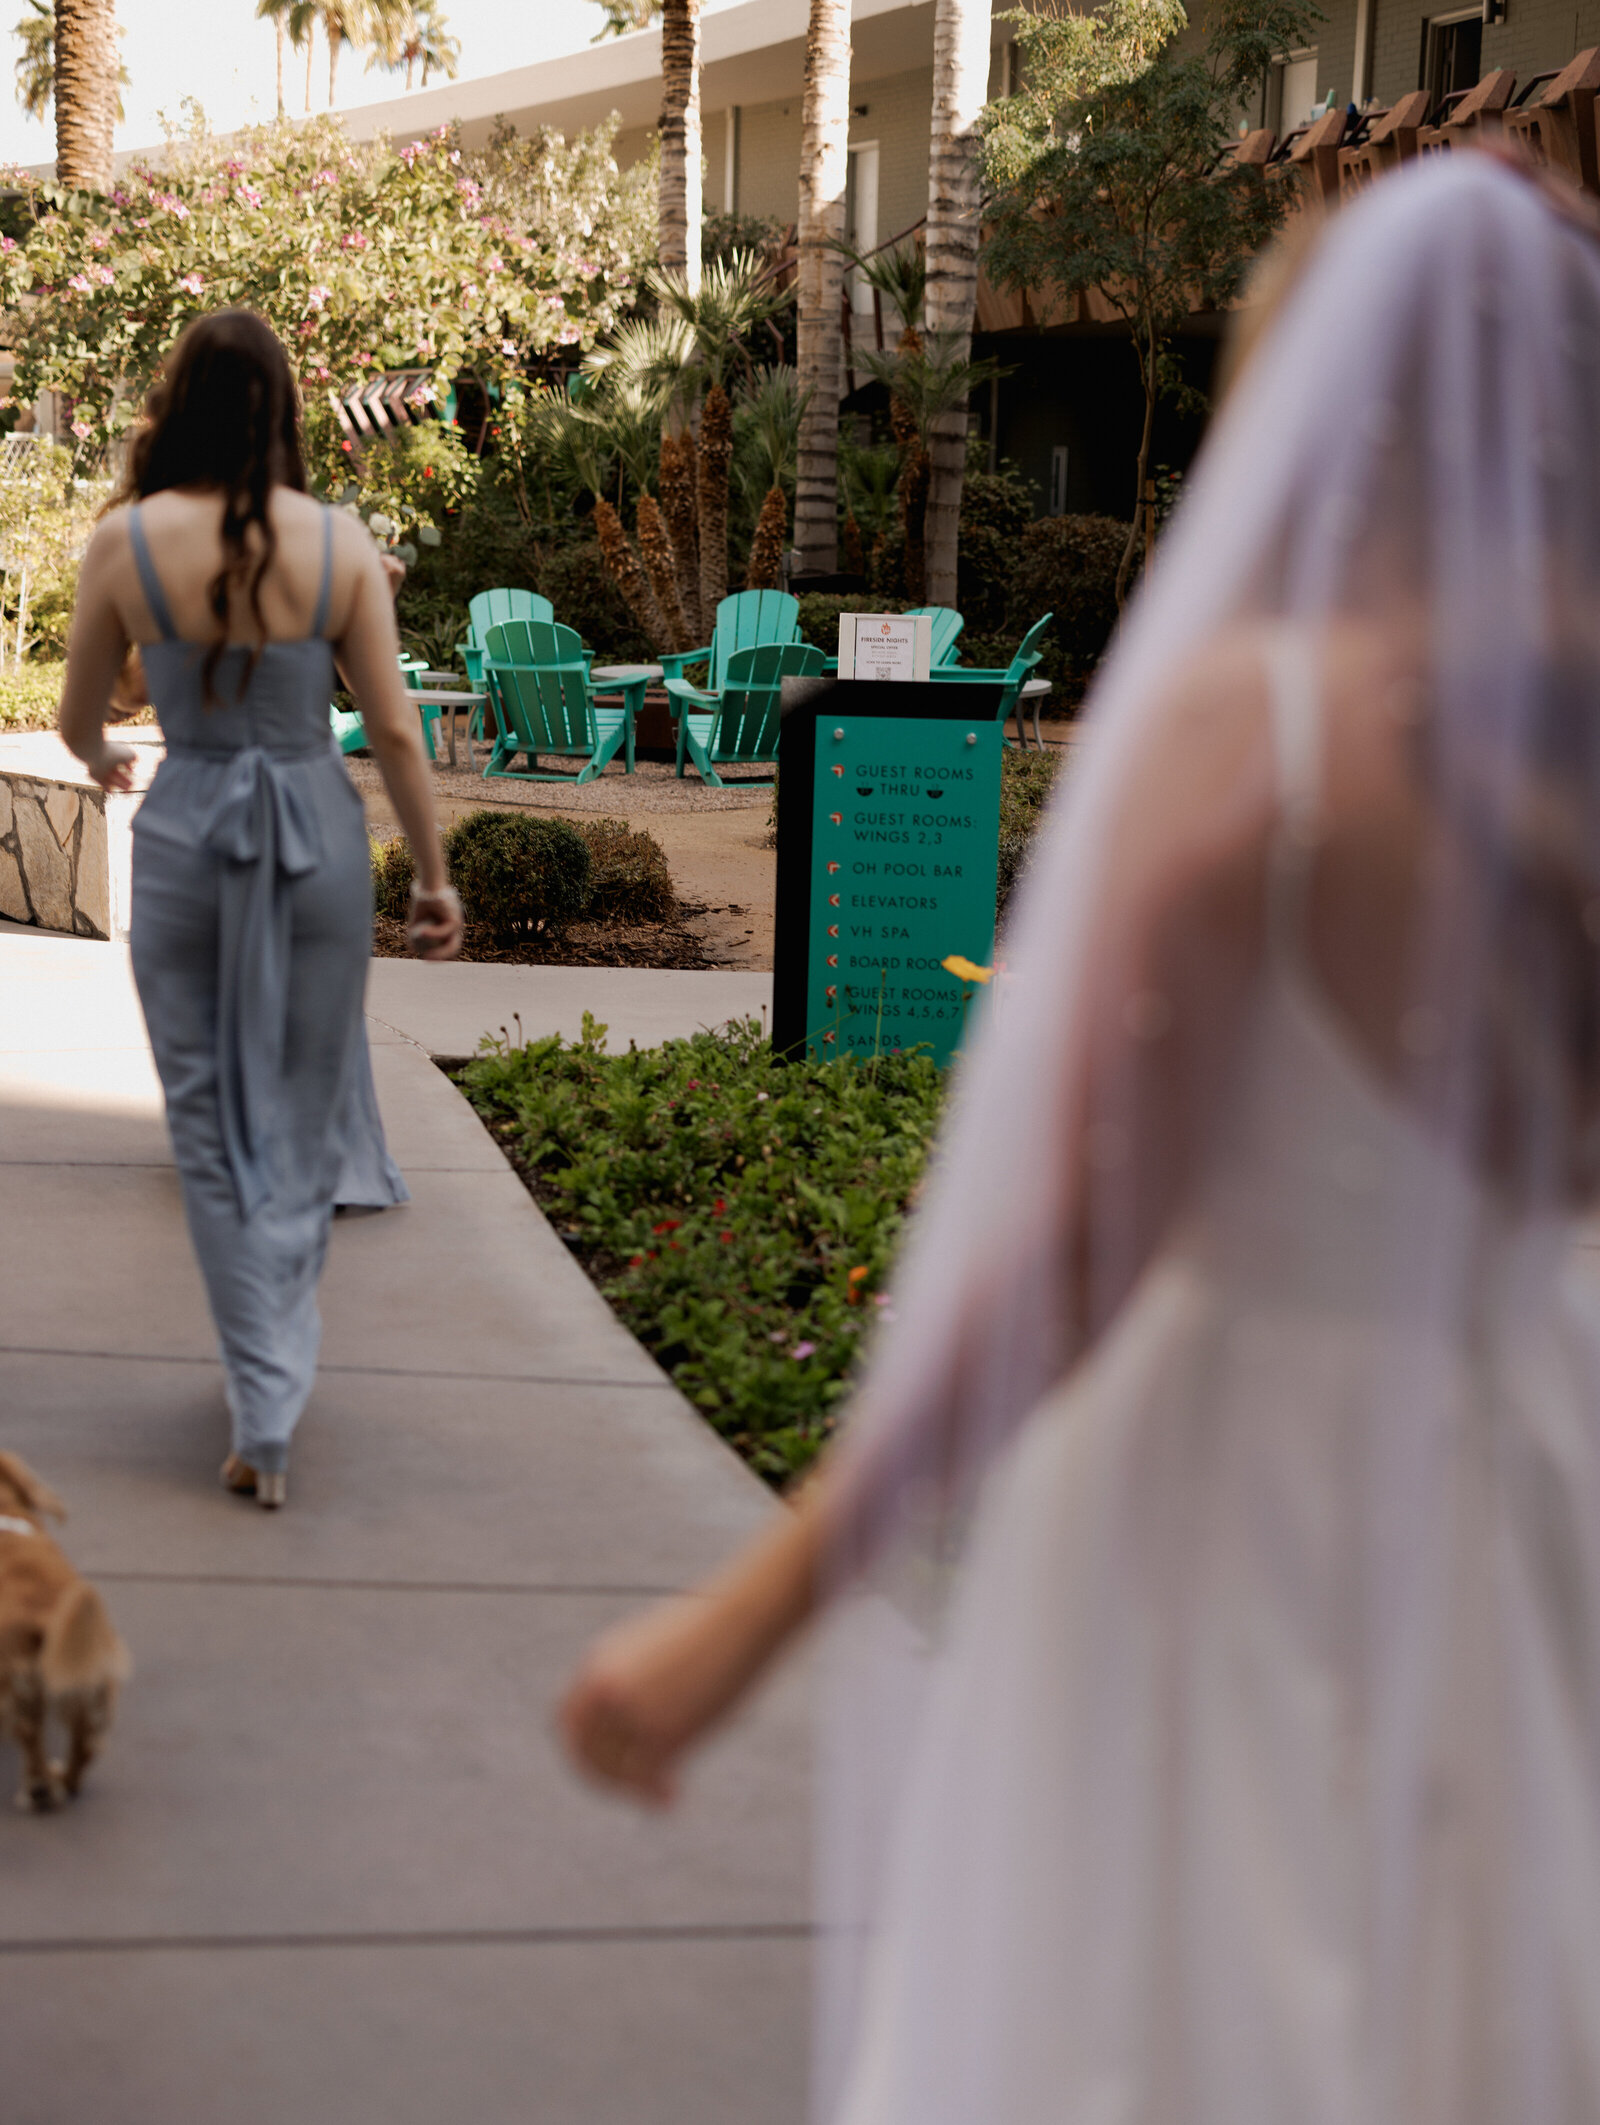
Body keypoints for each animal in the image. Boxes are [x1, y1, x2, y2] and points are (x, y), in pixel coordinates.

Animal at [0, 1445, 129, 1810]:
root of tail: (46, 1613)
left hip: (21, 1692)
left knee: (31, 1743)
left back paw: (38, 1789)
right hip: (93, 1690)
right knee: (85, 1749)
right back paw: (62, 1781)